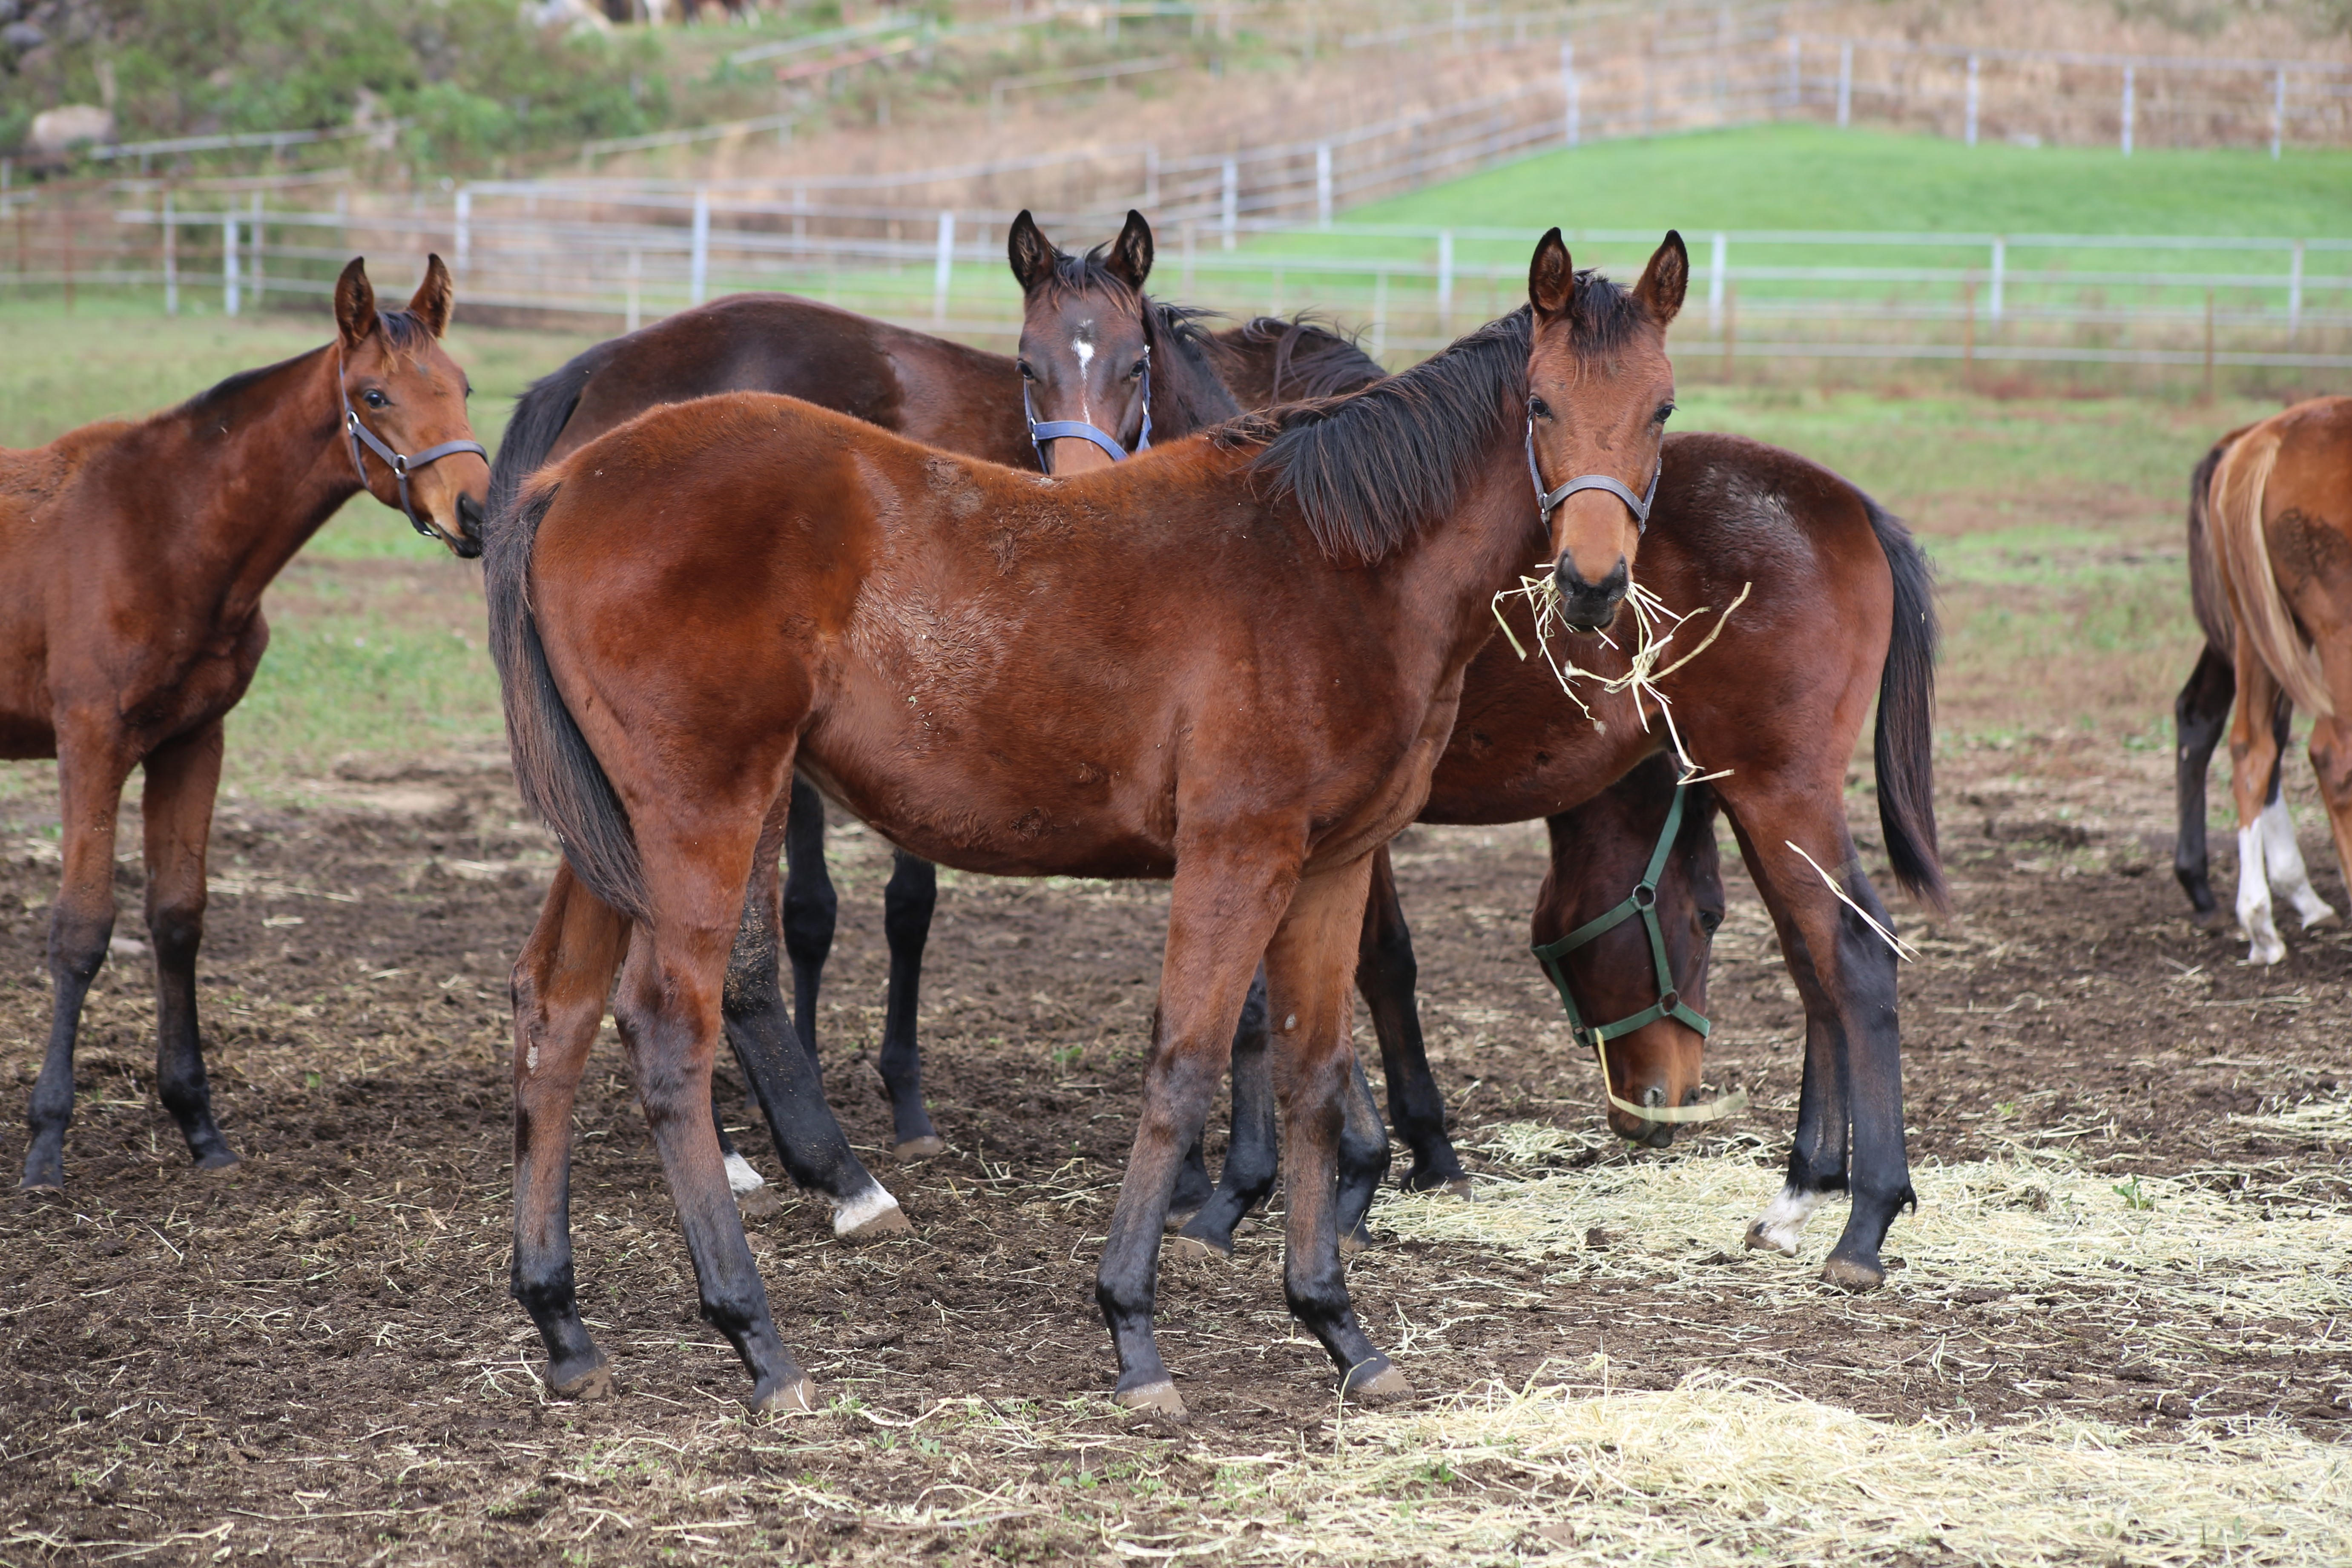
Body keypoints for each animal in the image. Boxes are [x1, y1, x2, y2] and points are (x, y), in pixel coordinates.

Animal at [4, 257, 489, 1189]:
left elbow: (177, 917)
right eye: (374, 395)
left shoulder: (193, 741)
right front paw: (46, 1143)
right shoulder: (91, 741)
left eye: (464, 385)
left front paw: (200, 1125)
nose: (477, 513)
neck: (165, 529)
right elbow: (81, 927)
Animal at [482, 236, 1693, 1420]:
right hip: (703, 815)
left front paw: (1338, 1325)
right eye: (1539, 403)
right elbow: (1187, 1064)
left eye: (1662, 409)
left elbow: (1311, 1071)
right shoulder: (1238, 852)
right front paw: (1135, 1333)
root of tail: (570, 477)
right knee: (668, 1028)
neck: (1332, 560)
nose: (1593, 582)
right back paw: (761, 1337)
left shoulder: (1332, 864)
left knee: (557, 1009)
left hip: (617, 836)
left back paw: (563, 1323)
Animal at [2183, 392, 2352, 964]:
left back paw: (2261, 922)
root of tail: (2267, 440)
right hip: (2330, 632)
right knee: (2330, 753)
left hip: (2257, 631)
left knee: (2247, 742)